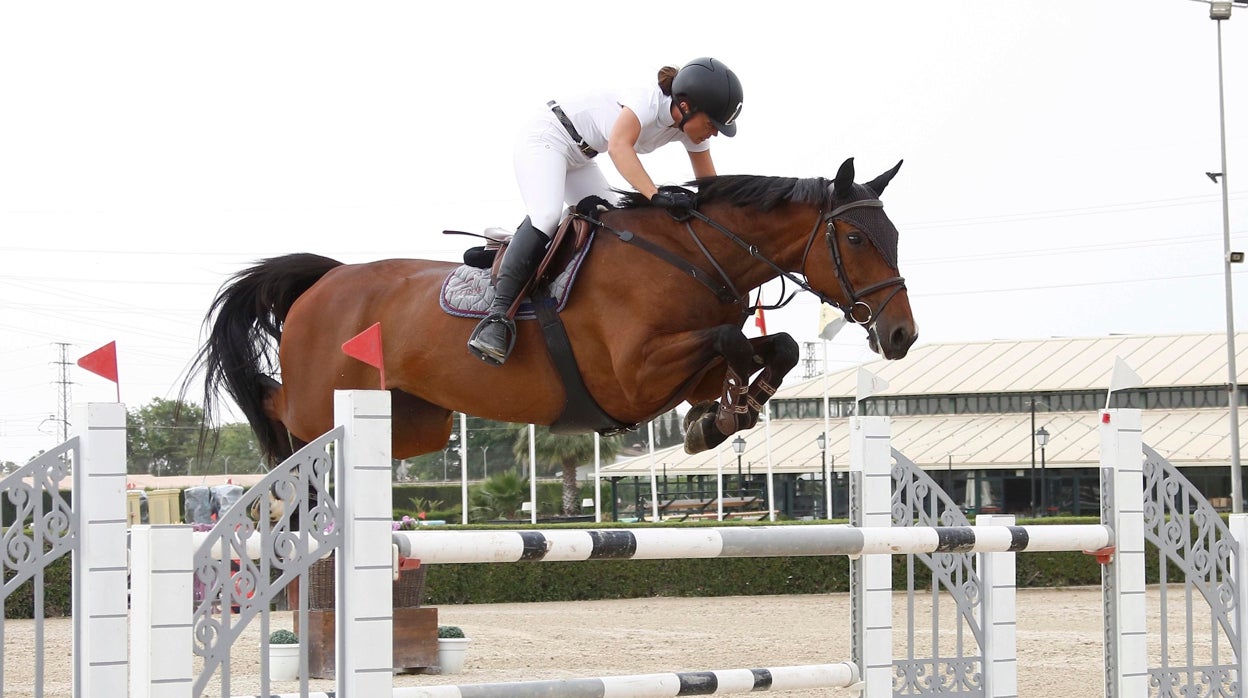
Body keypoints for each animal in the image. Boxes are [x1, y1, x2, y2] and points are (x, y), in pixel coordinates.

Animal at [184, 157, 923, 464]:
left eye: (893, 234)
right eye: (857, 239)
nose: (901, 335)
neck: (692, 254)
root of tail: (328, 280)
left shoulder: (680, 370)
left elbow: (777, 348)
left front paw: (719, 418)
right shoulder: (634, 377)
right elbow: (727, 340)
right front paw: (725, 415)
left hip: (415, 422)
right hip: (321, 401)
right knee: (276, 407)